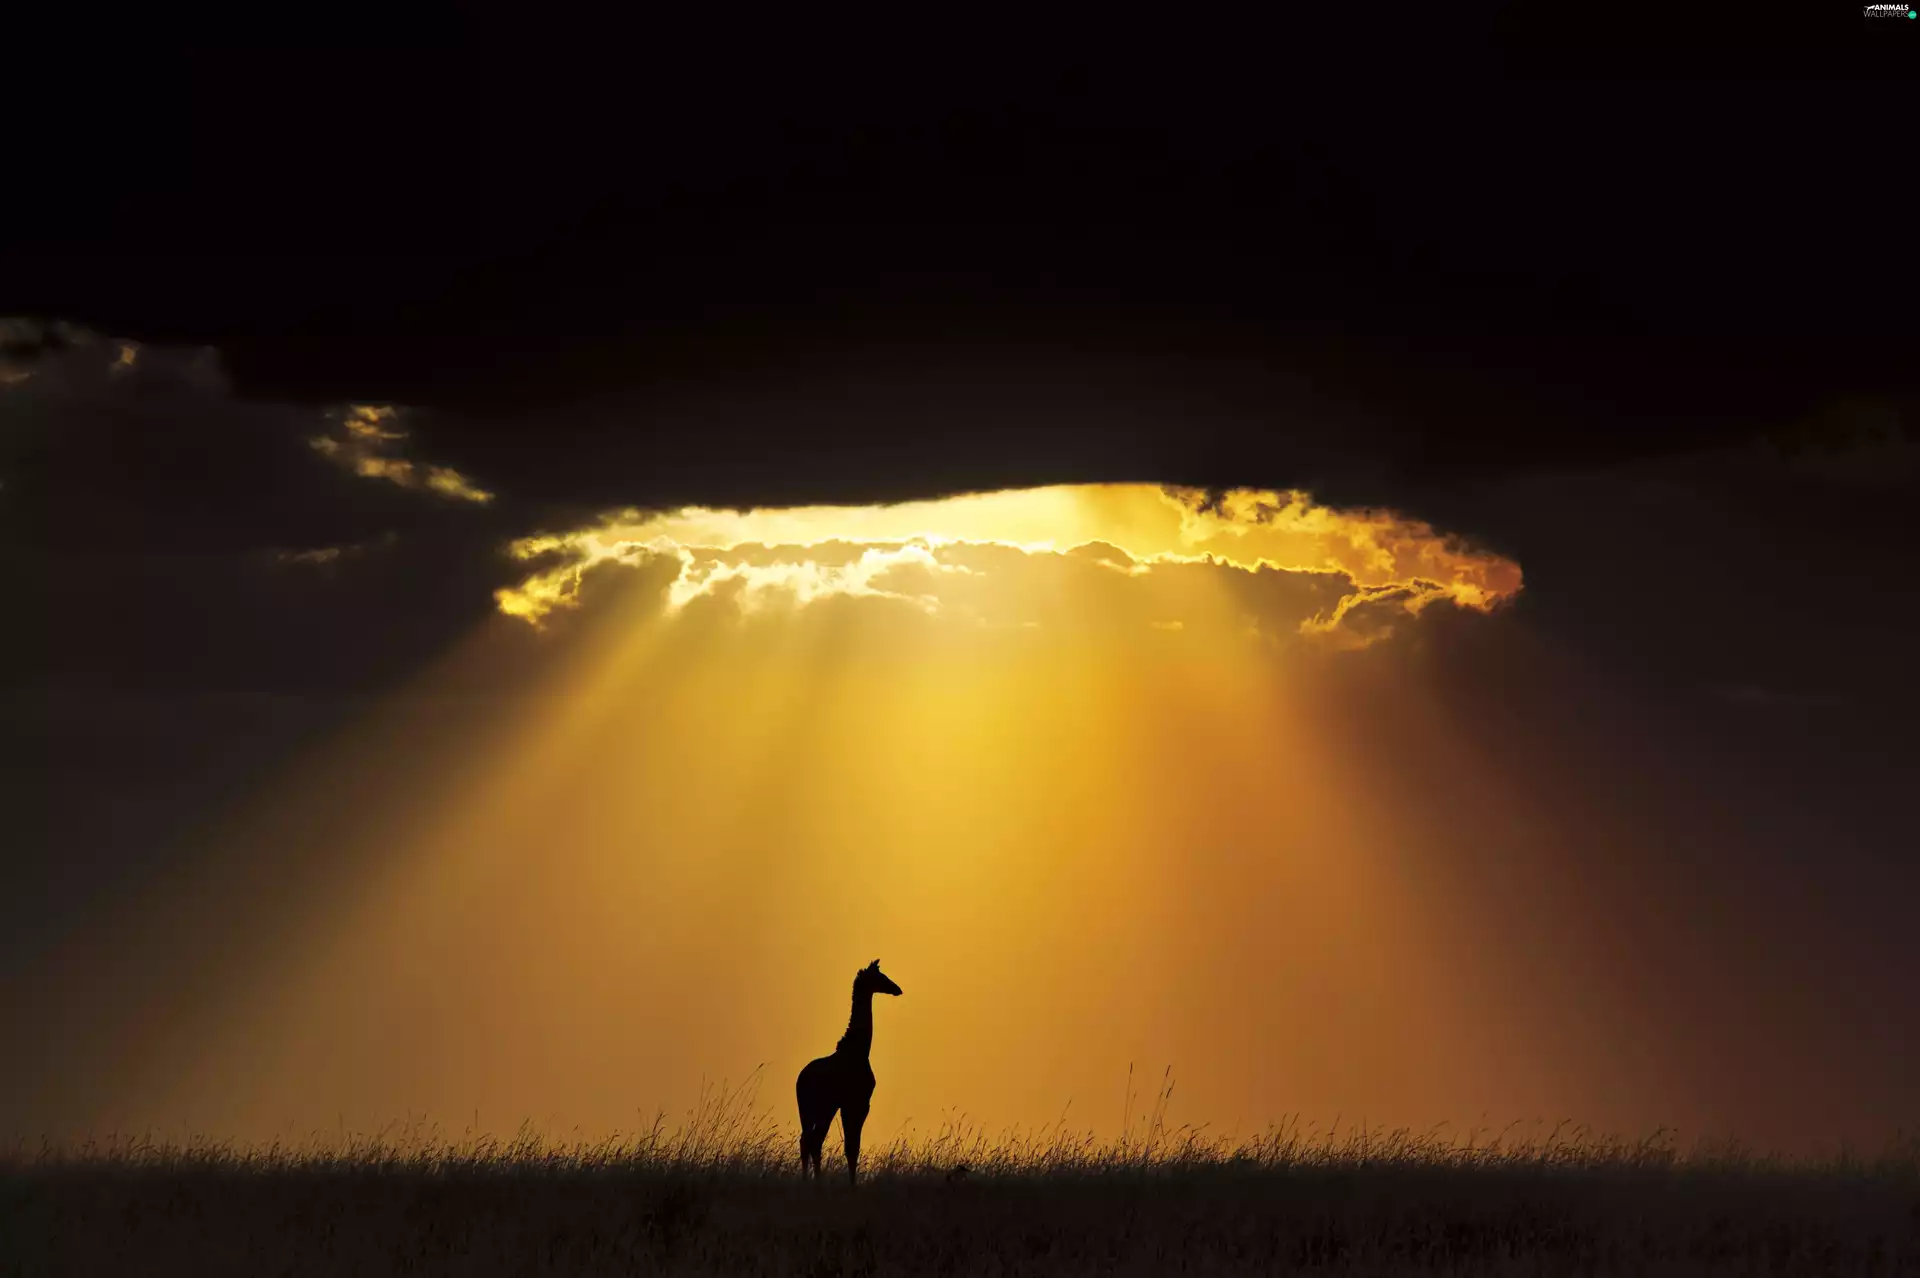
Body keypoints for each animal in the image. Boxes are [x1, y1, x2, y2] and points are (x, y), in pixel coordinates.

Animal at [796, 959, 902, 1184]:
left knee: (807, 1139)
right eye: (881, 976)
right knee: (813, 1140)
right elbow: (852, 1147)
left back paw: (808, 1180)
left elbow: (851, 1147)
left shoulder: (847, 1105)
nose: (897, 989)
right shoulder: (859, 1103)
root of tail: (800, 1080)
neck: (860, 1049)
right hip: (822, 1107)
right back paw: (815, 1181)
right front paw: (853, 1184)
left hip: (809, 1109)